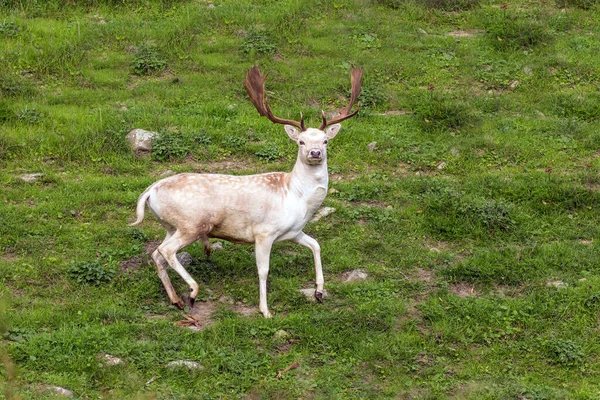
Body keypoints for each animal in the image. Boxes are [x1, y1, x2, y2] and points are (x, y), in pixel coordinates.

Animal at [131, 65, 364, 318]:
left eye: (325, 141)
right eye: (301, 141)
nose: (315, 153)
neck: (297, 197)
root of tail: (150, 191)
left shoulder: (294, 232)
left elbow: (316, 245)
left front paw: (319, 291)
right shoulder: (264, 232)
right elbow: (263, 270)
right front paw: (265, 310)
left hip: (170, 225)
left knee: (156, 254)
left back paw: (176, 300)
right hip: (191, 224)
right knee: (166, 251)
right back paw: (192, 292)